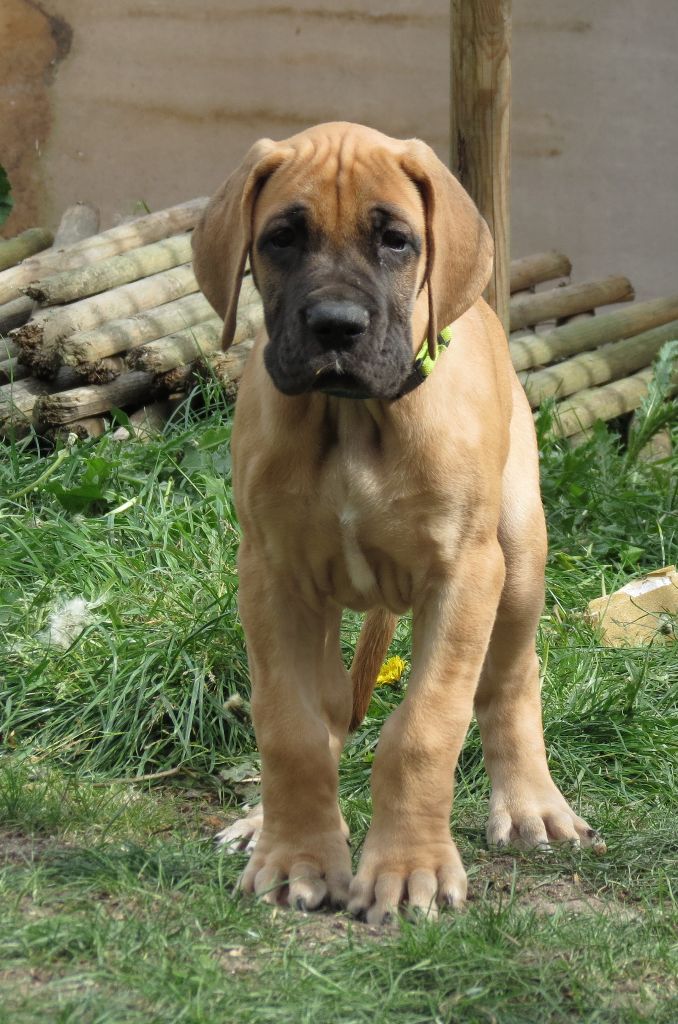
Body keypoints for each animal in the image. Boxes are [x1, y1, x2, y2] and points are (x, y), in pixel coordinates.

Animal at [191, 122, 603, 925]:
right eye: (281, 238)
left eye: (395, 240)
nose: (335, 327)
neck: (353, 417)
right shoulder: (273, 577)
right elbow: (288, 726)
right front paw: (294, 858)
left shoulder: (464, 577)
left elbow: (423, 728)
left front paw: (410, 870)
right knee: (322, 712)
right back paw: (265, 823)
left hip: (519, 558)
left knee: (512, 678)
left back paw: (531, 805)